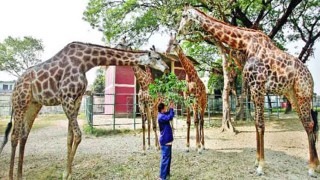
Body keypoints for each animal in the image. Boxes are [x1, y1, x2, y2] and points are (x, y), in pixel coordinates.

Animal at [0, 41, 169, 179]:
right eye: (157, 58)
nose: (167, 68)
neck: (85, 62)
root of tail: (15, 84)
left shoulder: (76, 99)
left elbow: (70, 138)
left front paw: (67, 173)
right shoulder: (66, 98)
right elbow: (78, 135)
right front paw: (66, 174)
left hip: (33, 105)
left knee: (23, 135)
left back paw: (20, 175)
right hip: (20, 103)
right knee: (14, 136)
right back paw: (11, 176)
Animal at [179, 4, 318, 176]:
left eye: (184, 16)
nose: (178, 31)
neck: (245, 44)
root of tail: (311, 78)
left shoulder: (258, 86)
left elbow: (260, 124)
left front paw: (261, 167)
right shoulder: (253, 87)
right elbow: (256, 124)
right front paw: (256, 162)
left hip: (303, 93)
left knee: (310, 123)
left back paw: (312, 168)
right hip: (292, 95)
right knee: (307, 123)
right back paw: (315, 165)